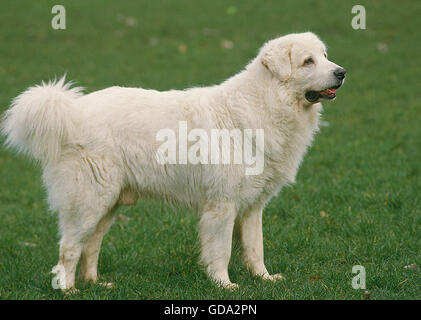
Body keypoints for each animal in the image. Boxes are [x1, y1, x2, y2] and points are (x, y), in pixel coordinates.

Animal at [1, 31, 344, 290]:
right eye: (308, 61)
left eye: (325, 55)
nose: (341, 72)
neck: (265, 102)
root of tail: (71, 112)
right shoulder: (222, 206)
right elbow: (221, 251)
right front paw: (224, 285)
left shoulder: (252, 207)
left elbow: (255, 248)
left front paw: (264, 279)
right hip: (89, 202)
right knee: (69, 247)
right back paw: (68, 288)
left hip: (108, 206)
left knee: (91, 246)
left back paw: (96, 284)